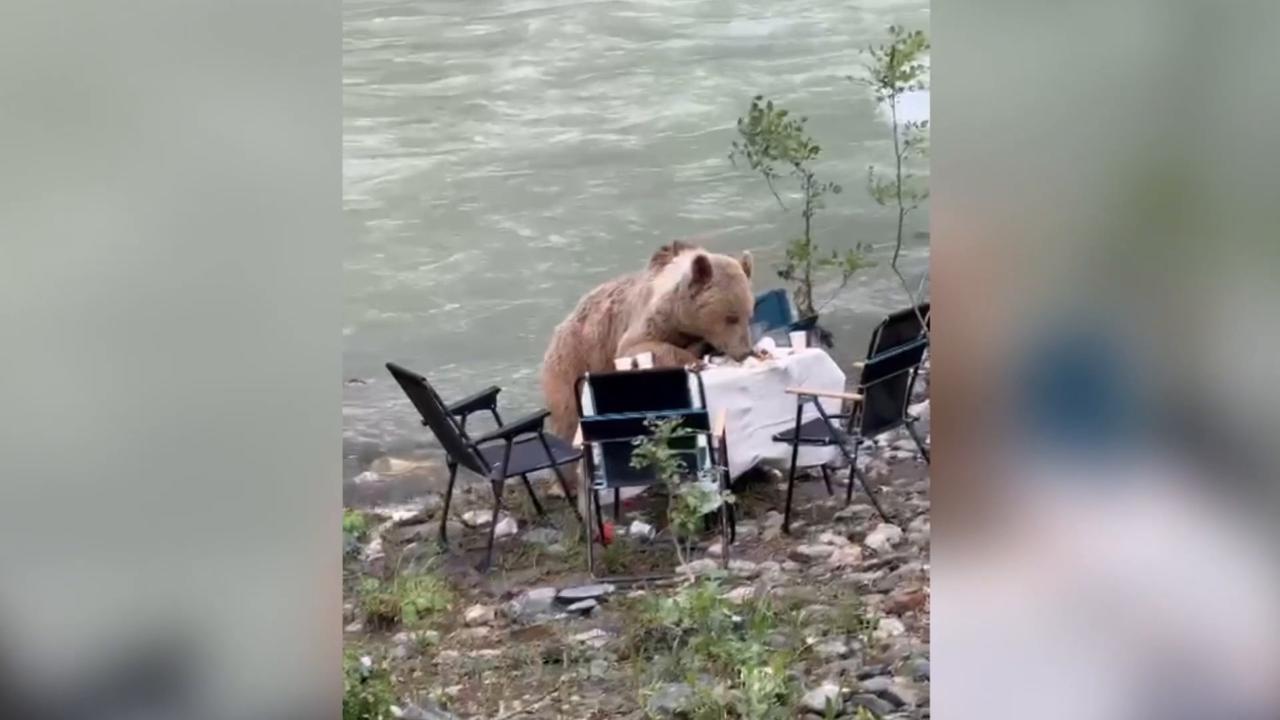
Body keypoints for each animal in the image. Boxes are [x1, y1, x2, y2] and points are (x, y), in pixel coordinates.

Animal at [541, 240, 756, 441]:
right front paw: (695, 361)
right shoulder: (646, 322)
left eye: (748, 314)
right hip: (571, 364)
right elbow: (636, 348)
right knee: (567, 420)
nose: (745, 351)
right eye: (731, 317)